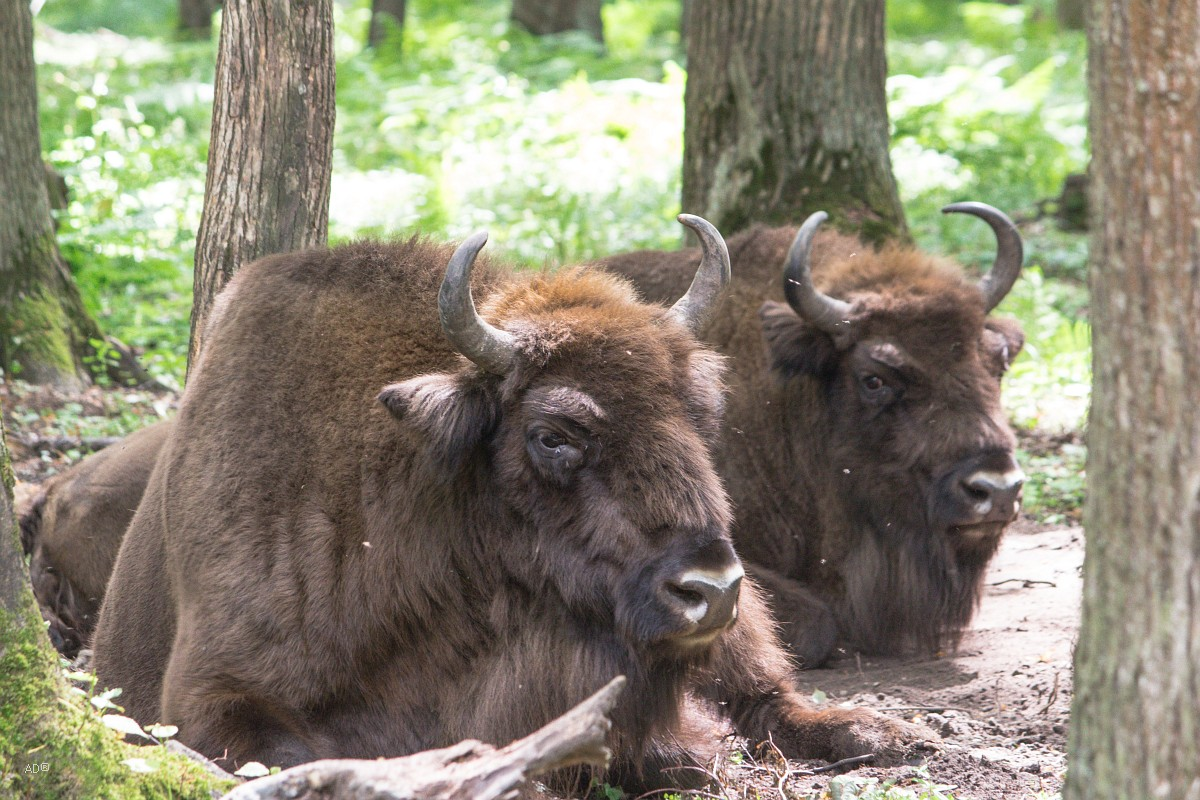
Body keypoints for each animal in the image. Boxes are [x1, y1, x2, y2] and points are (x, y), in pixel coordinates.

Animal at [91, 221, 926, 791]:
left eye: (698, 409)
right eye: (553, 434)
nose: (710, 589)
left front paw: (692, 745)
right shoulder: (208, 699)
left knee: (772, 693)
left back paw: (876, 731)